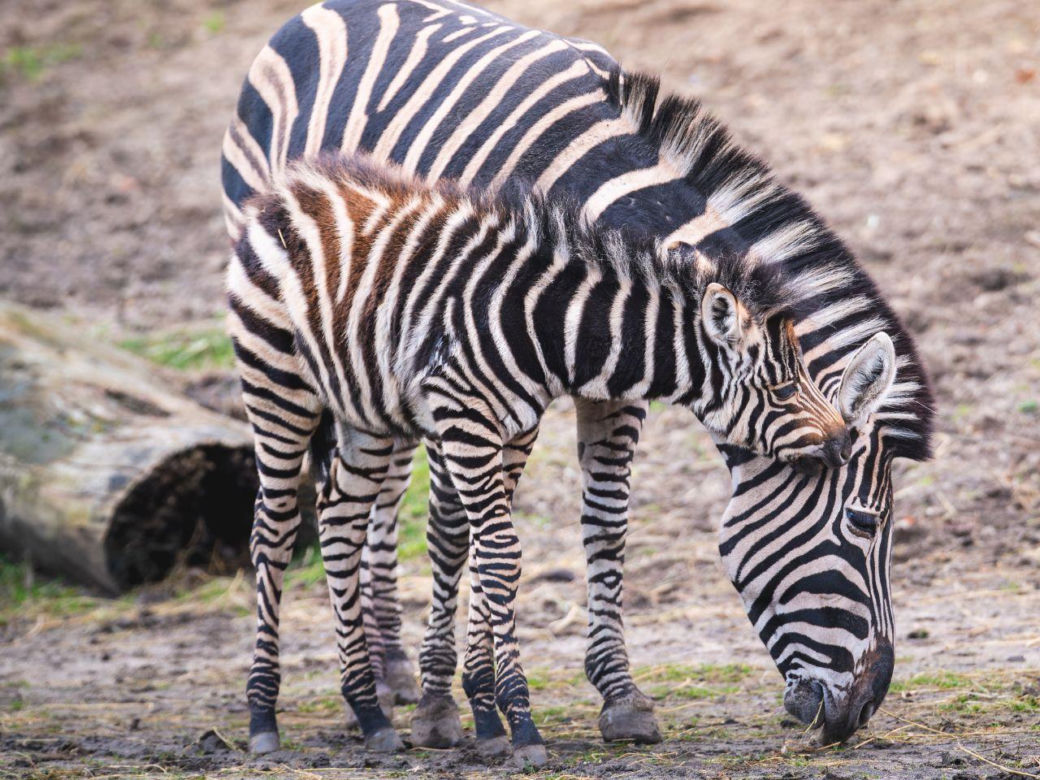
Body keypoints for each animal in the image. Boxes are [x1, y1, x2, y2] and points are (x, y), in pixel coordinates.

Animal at [221, 0, 934, 758]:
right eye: (864, 523)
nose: (863, 710)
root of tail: (318, 10)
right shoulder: (470, 370)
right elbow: (457, 528)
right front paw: (454, 704)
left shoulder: (609, 383)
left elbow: (606, 521)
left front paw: (616, 695)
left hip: (368, 361)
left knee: (373, 496)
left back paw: (387, 671)